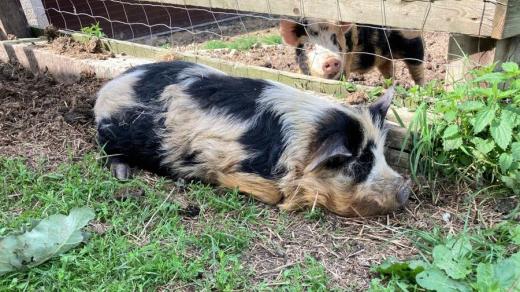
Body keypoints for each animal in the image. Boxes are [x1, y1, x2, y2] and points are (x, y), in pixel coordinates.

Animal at [93, 61, 410, 217]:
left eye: (380, 155)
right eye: (359, 162)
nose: (406, 189)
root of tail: (108, 87)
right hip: (115, 133)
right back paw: (123, 175)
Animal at [278, 18, 424, 85]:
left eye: (335, 39)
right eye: (309, 45)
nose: (331, 60)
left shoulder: (346, 62)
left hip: (413, 44)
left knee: (418, 70)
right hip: (384, 58)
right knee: (389, 72)